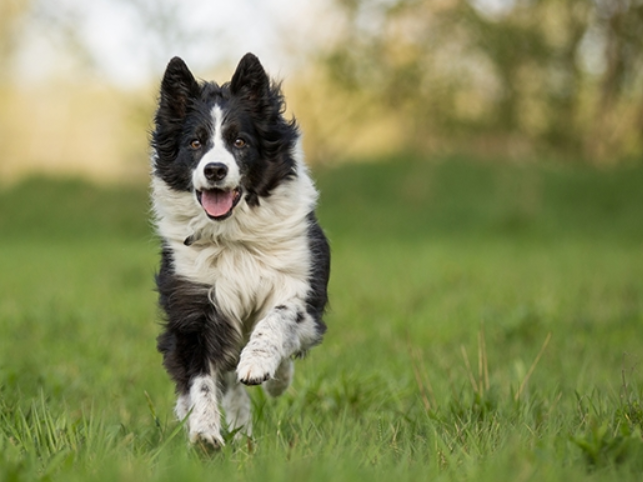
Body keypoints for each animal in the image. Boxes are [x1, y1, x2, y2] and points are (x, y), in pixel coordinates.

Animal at [152, 53, 332, 448]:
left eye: (239, 141)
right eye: (195, 143)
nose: (215, 170)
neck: (233, 234)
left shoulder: (302, 287)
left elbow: (277, 318)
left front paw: (259, 364)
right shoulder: (195, 305)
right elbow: (201, 378)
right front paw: (204, 431)